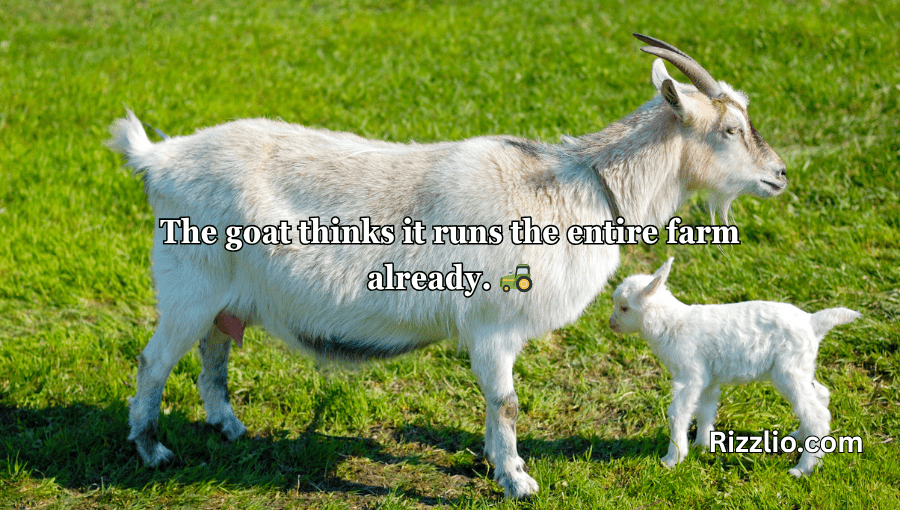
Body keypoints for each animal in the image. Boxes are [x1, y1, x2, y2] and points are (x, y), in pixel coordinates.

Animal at [107, 34, 787, 498]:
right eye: (730, 129)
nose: (780, 174)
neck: (583, 188)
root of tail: (159, 159)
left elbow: (496, 404)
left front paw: (496, 464)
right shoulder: (493, 325)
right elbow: (507, 402)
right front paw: (518, 481)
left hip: (224, 298)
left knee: (214, 353)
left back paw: (229, 426)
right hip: (187, 289)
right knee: (153, 361)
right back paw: (152, 450)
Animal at [609, 258, 860, 477]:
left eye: (624, 308)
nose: (611, 324)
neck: (672, 323)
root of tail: (813, 322)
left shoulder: (690, 374)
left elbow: (678, 413)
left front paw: (673, 458)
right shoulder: (708, 378)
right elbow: (705, 409)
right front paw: (702, 445)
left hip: (788, 371)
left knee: (817, 415)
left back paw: (802, 469)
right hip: (802, 367)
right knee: (821, 395)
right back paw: (799, 435)